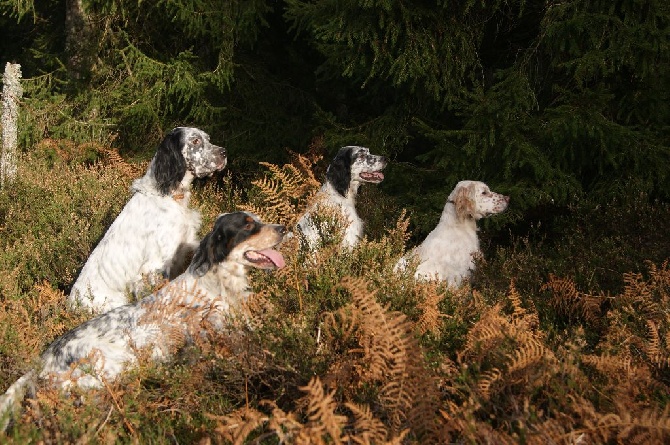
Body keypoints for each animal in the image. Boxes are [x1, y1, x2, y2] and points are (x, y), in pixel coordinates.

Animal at [67, 125, 228, 312]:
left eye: (208, 139)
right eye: (195, 141)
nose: (224, 152)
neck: (168, 195)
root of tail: (71, 305)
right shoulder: (155, 265)